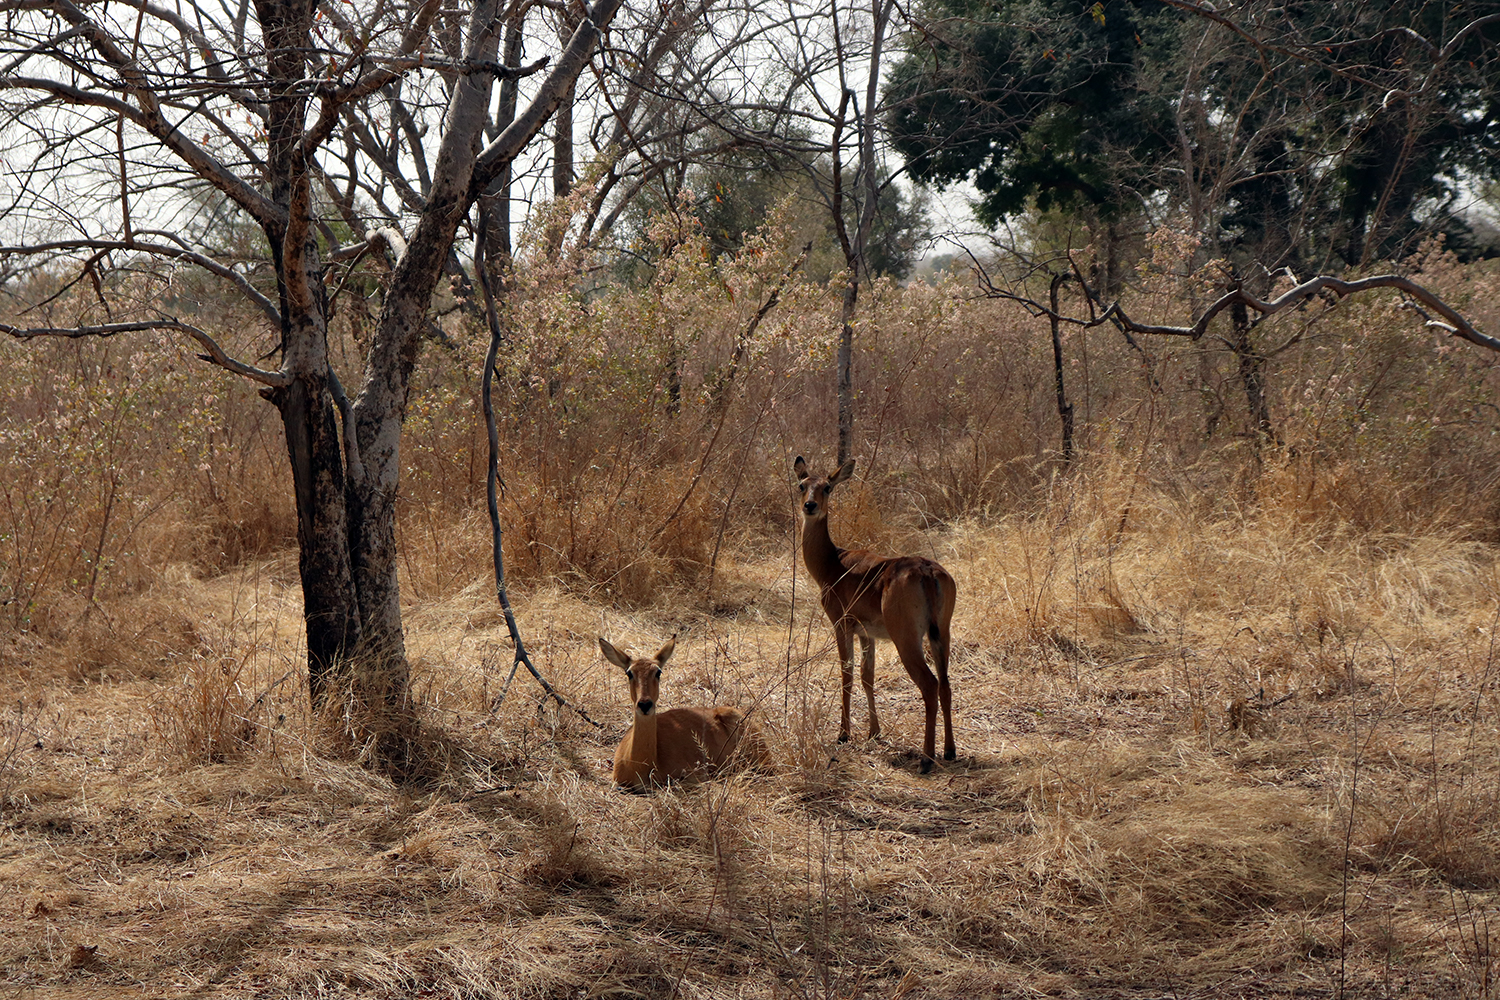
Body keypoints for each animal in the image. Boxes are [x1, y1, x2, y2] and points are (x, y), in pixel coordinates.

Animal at [792, 455, 954, 773]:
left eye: (827, 486)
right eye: (802, 484)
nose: (810, 506)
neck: (832, 563)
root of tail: (928, 573)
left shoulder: (842, 624)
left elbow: (847, 674)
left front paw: (843, 734)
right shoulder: (869, 634)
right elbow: (868, 676)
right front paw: (874, 732)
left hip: (907, 638)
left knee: (929, 684)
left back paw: (926, 759)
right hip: (941, 633)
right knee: (945, 684)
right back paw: (950, 751)